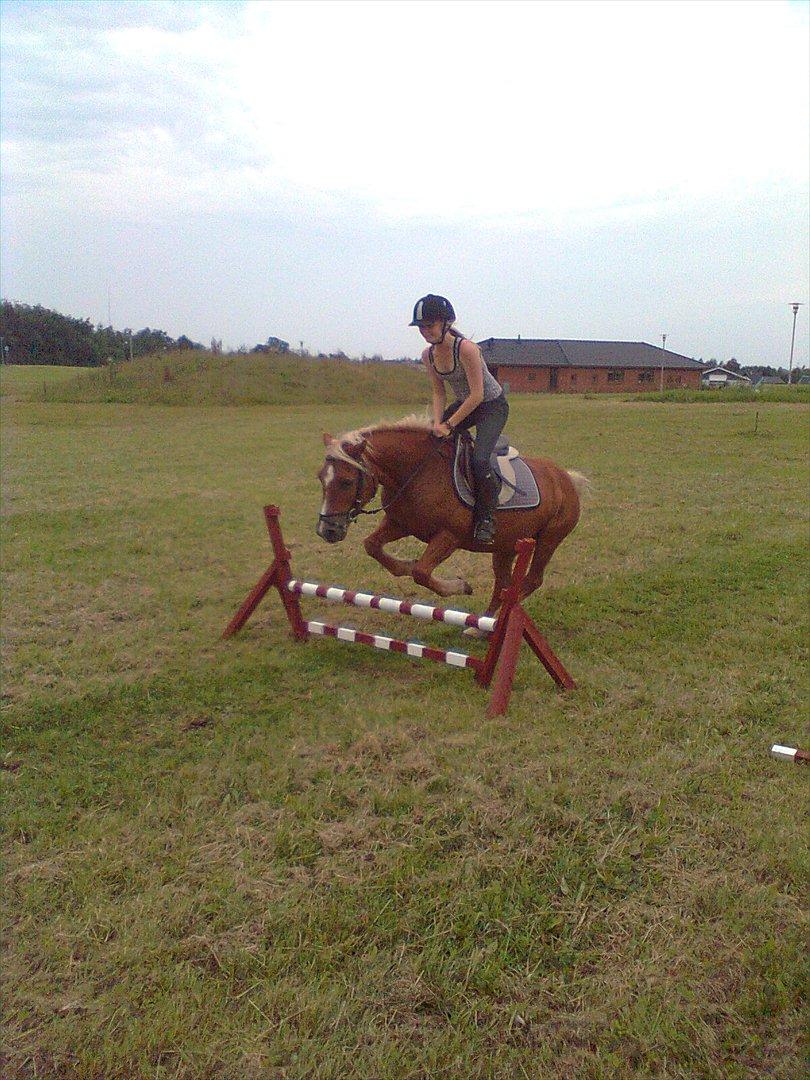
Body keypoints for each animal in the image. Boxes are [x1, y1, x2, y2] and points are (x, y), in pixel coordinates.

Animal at [317, 412, 591, 617]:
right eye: (321, 478)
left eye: (346, 482)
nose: (327, 530)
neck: (419, 472)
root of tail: (565, 478)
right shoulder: (399, 524)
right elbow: (372, 546)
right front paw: (405, 565)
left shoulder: (449, 537)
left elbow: (422, 573)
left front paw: (460, 586)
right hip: (505, 547)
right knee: (503, 585)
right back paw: (481, 625)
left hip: (548, 540)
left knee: (532, 581)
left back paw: (493, 621)